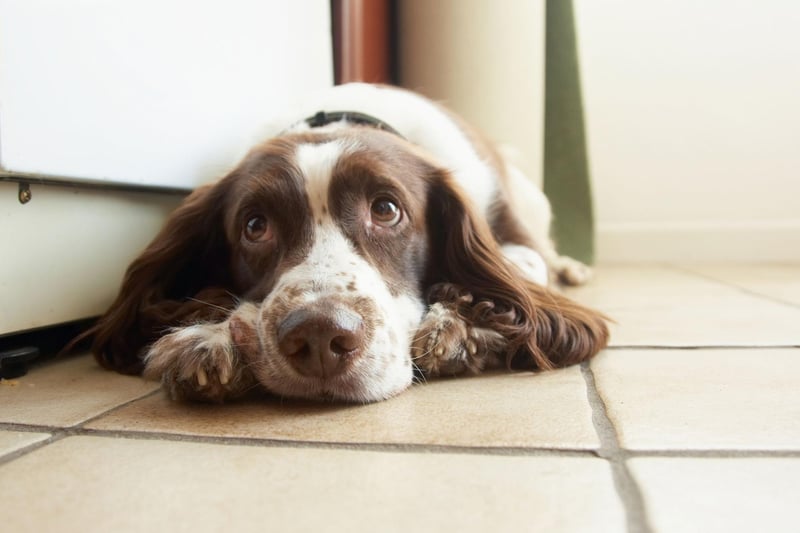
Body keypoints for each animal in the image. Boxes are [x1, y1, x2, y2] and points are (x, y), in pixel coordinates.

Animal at [84, 83, 608, 402]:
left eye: (387, 209)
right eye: (255, 225)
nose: (318, 337)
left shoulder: (513, 239)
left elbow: (520, 280)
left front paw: (458, 325)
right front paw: (211, 337)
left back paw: (573, 268)